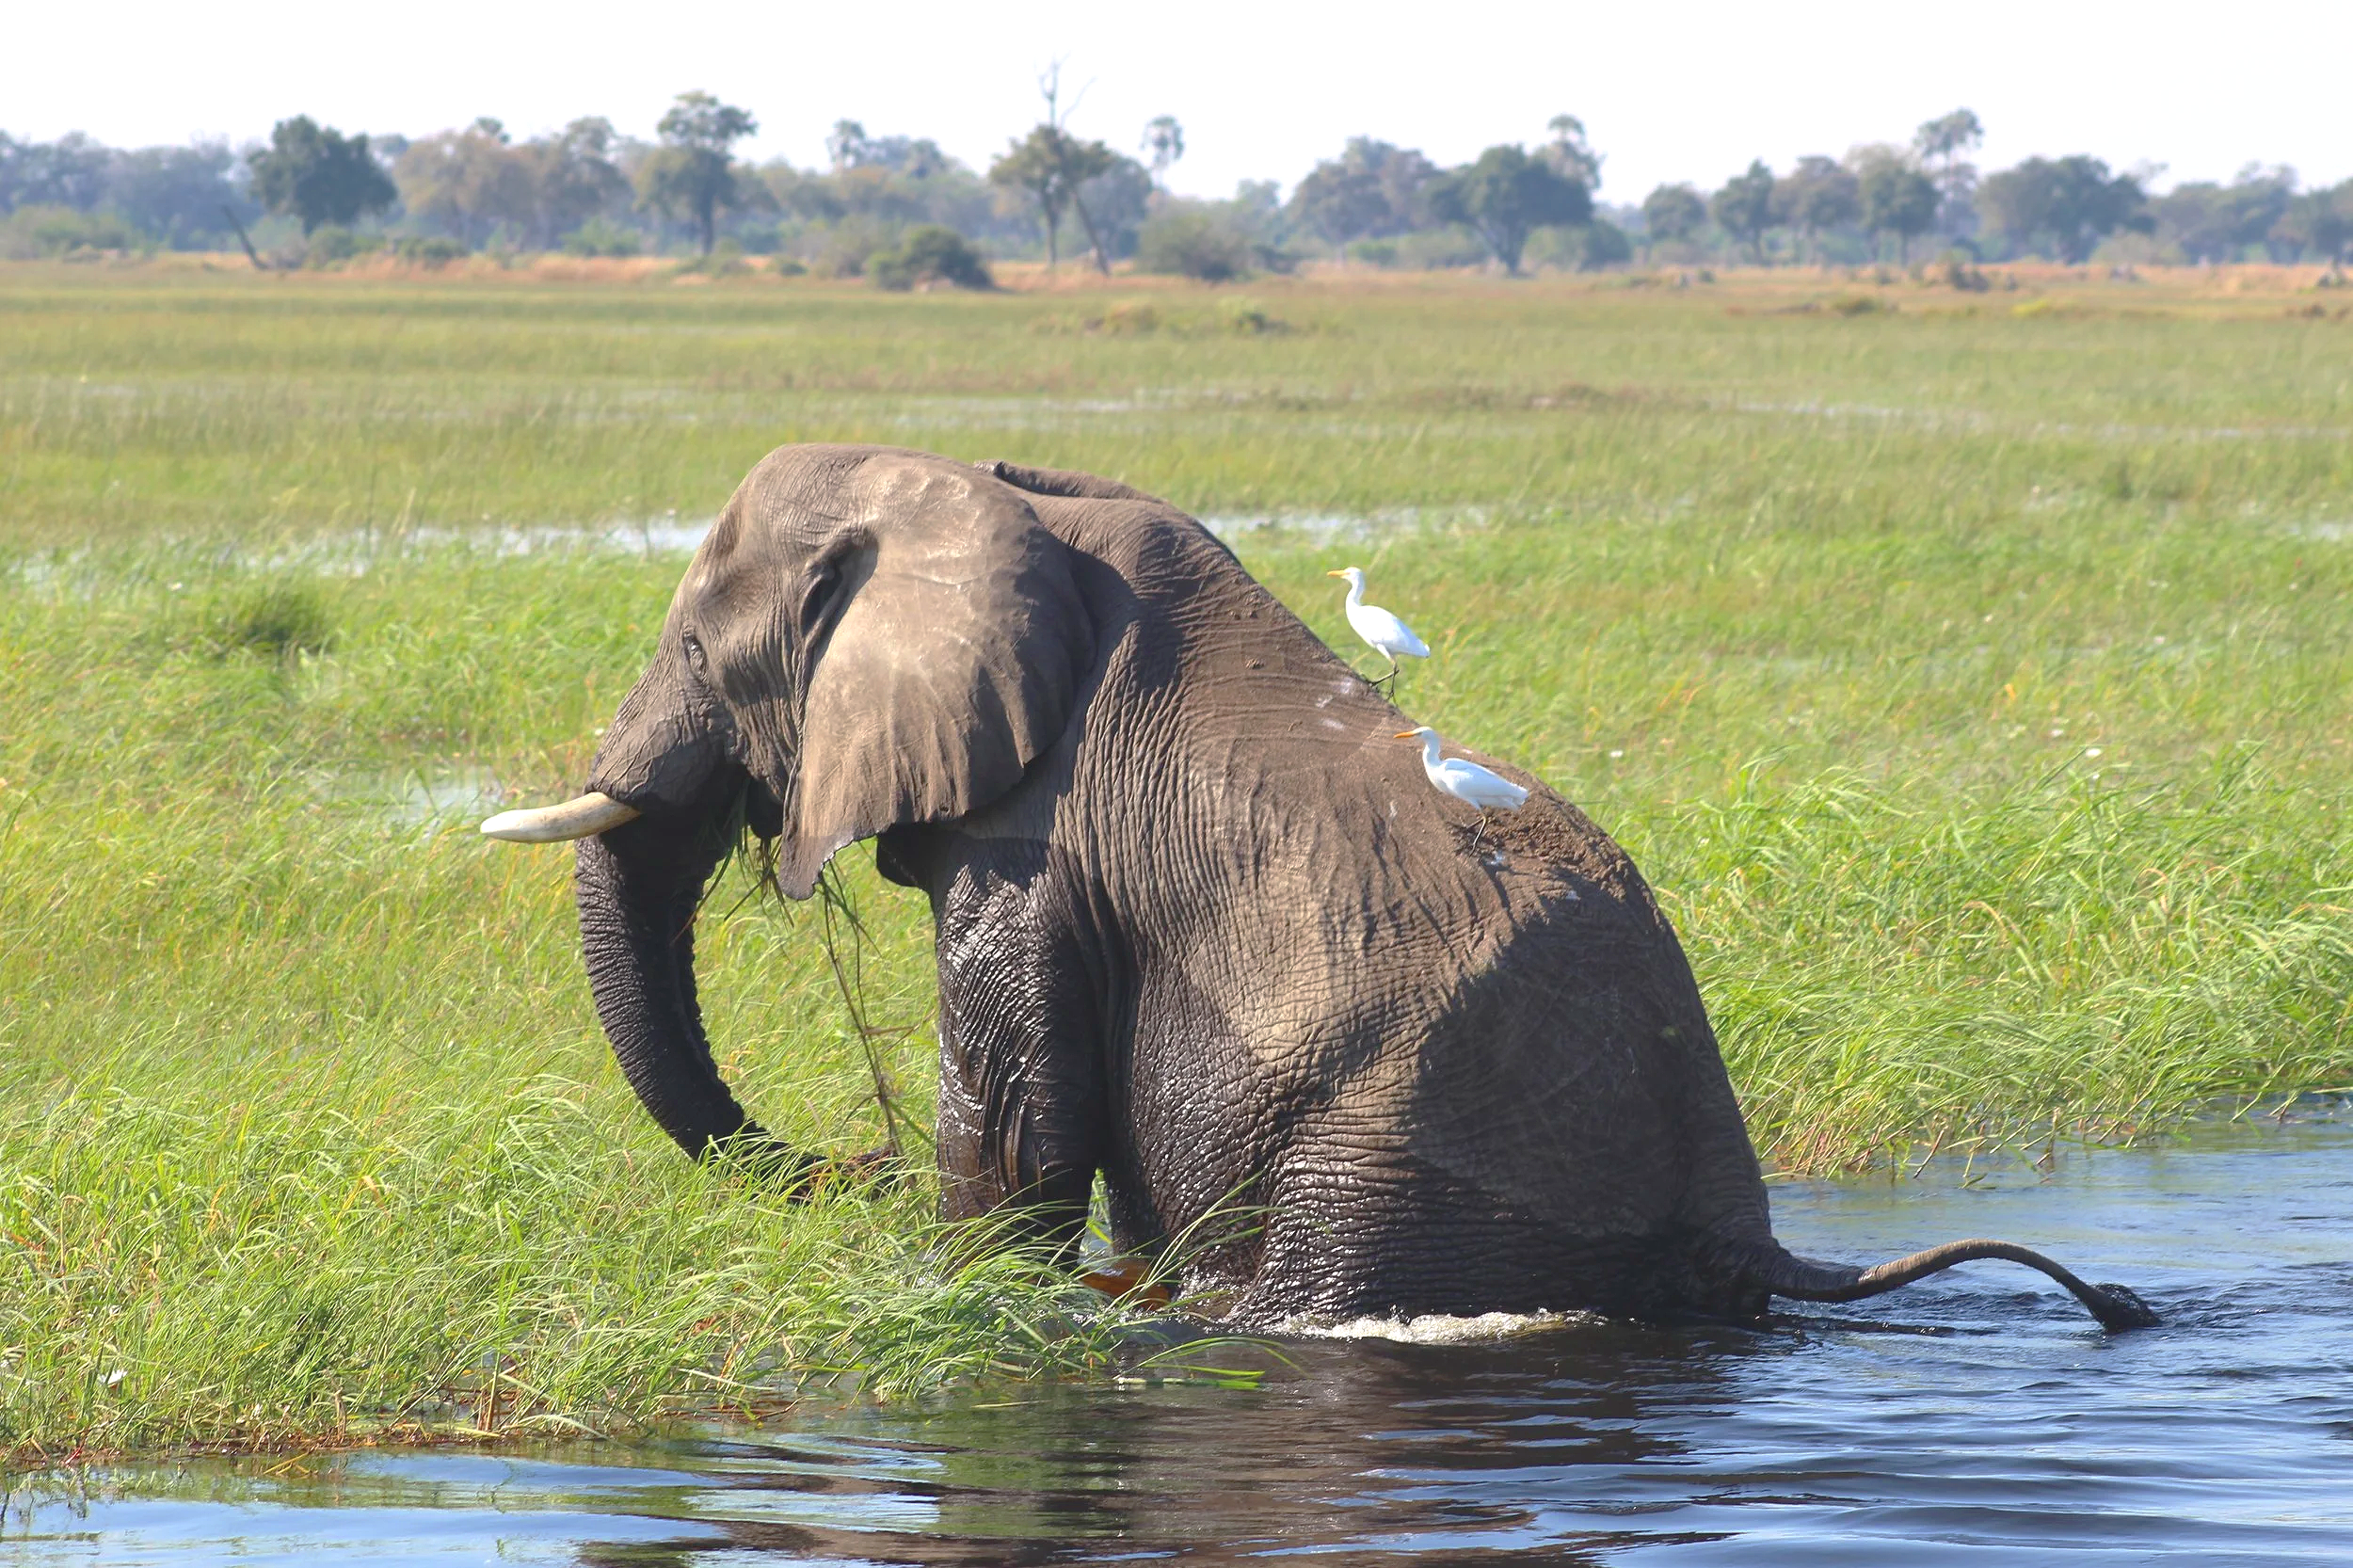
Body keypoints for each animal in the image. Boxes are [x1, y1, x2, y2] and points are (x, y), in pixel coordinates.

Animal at [483, 443, 2158, 1333]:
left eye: (697, 642)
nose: (847, 1168)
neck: (994, 499)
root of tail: (1735, 1203)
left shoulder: (1041, 840)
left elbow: (1015, 1106)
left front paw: (966, 1294)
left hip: (1404, 1151)